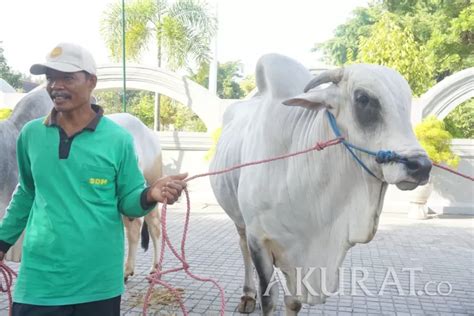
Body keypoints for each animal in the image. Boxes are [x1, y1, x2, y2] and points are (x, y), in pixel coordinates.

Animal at [211, 53, 434, 314]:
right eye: (363, 98)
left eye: (406, 103)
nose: (421, 166)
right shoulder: (259, 239)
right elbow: (269, 298)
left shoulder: (301, 260)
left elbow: (293, 301)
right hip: (239, 220)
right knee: (242, 247)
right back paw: (247, 295)